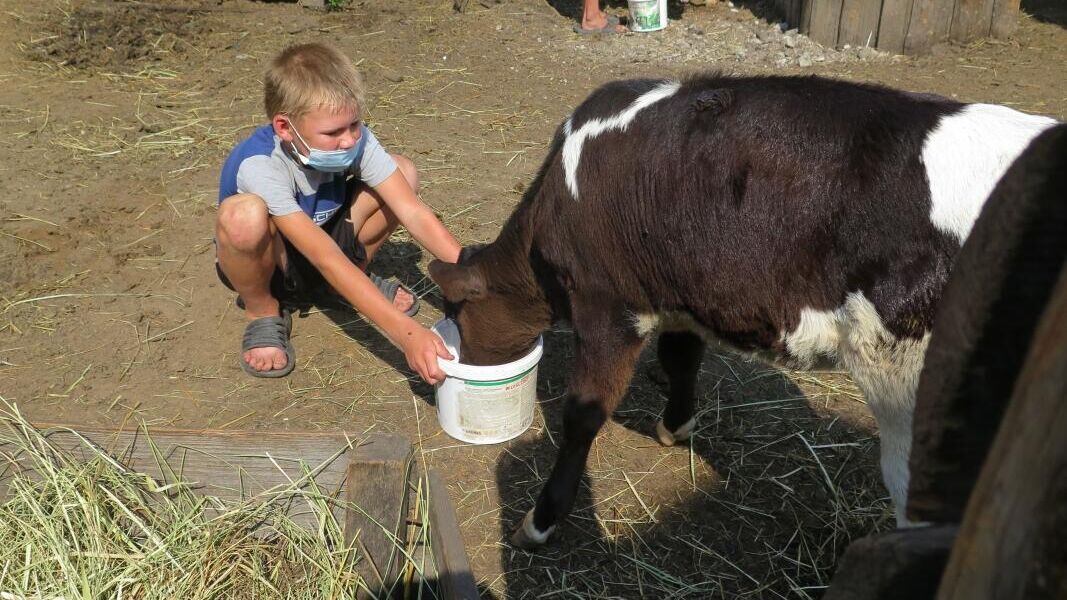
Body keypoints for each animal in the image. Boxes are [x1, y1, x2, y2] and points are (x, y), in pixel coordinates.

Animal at [426, 74, 1058, 546]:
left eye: (460, 312)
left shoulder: (607, 305)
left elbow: (583, 415)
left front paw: (541, 519)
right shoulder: (678, 293)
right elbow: (681, 358)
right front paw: (675, 426)